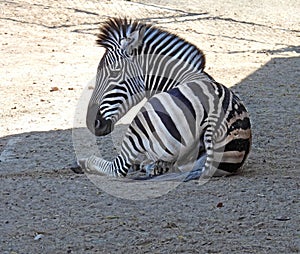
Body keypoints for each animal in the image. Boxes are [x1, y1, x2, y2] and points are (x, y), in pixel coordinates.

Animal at [78, 17, 252, 181]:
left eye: (114, 73)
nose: (92, 123)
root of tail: (215, 121)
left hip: (141, 121)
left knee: (118, 168)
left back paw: (83, 163)